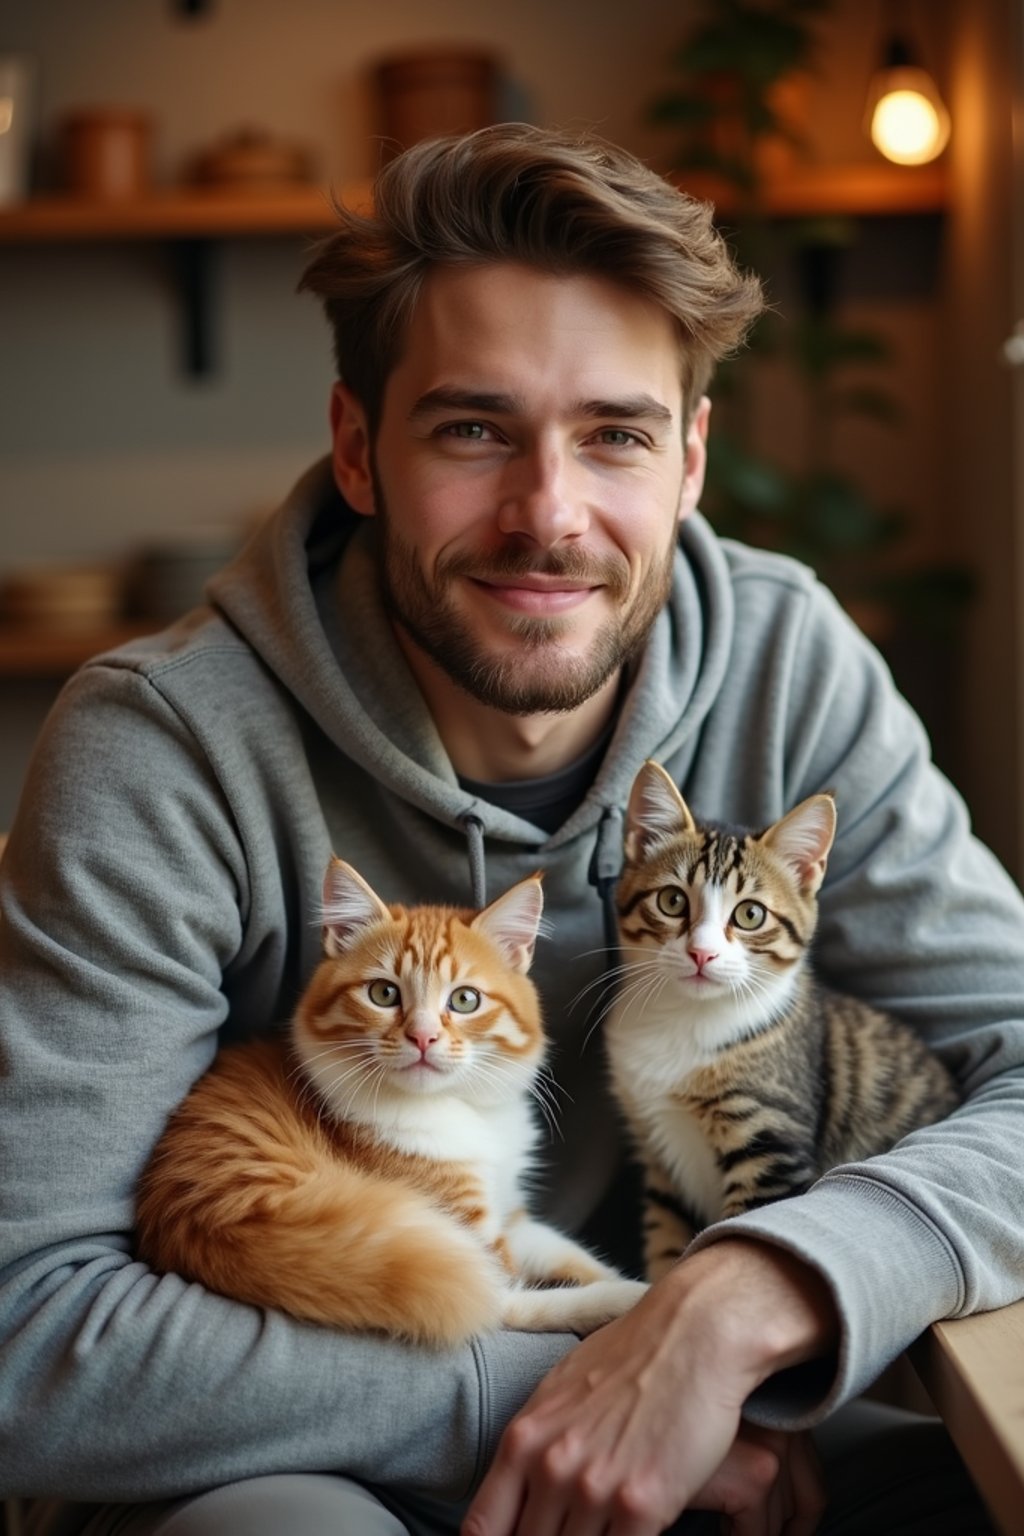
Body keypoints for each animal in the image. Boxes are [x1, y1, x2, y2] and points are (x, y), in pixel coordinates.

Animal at [137, 860, 644, 1351]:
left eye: (465, 999)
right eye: (383, 993)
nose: (422, 1037)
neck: (458, 1109)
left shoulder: (509, 1210)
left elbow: (568, 1250)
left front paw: (631, 1279)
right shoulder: (468, 1230)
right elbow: (517, 1299)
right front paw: (627, 1294)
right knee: (510, 1306)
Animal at [604, 761, 964, 1277]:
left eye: (750, 914)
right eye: (672, 901)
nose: (701, 953)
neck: (686, 1019)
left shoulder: (770, 1147)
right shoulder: (659, 1158)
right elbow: (667, 1243)